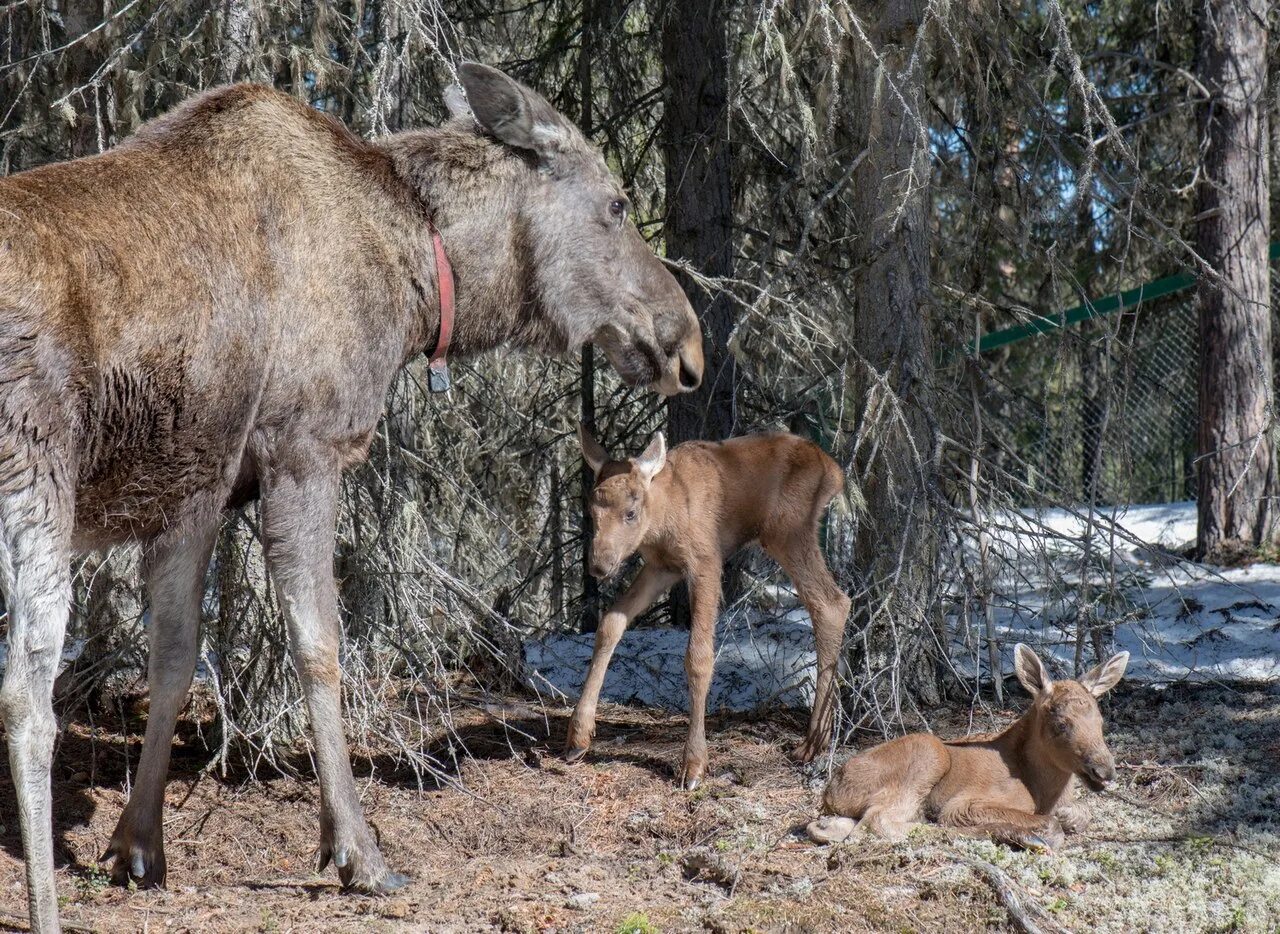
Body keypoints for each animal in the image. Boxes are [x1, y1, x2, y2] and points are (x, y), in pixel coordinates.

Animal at [0, 61, 701, 926]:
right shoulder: (307, 447)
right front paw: (355, 852)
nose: (688, 345)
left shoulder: (196, 493)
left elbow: (174, 656)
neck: (421, 284)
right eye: (618, 204)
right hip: (36, 481)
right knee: (27, 697)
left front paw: (138, 846)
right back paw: (44, 906)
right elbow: (320, 646)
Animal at [568, 427, 849, 788]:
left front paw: (694, 765)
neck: (663, 519)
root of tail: (835, 472)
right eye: (591, 512)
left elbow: (698, 657)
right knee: (832, 603)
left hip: (787, 530)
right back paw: (822, 736)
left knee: (831, 603)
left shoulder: (705, 562)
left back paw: (813, 742)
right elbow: (610, 624)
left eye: (630, 512)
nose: (599, 566)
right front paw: (578, 736)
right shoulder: (661, 567)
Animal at [808, 644, 1131, 849]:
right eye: (1061, 723)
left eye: (1101, 721)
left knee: (842, 827)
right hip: (928, 753)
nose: (1104, 770)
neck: (1044, 790)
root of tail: (831, 791)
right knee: (880, 823)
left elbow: (1080, 815)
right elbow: (1050, 824)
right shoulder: (967, 803)